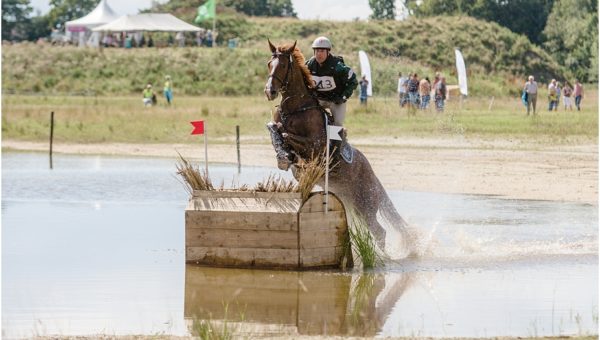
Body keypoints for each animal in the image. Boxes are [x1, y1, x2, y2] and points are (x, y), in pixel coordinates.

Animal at [264, 40, 410, 252]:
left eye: (283, 65)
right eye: (269, 63)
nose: (270, 92)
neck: (295, 108)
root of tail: (372, 174)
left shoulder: (315, 146)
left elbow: (287, 135)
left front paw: (286, 154)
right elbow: (274, 128)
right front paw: (284, 156)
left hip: (364, 204)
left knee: (379, 231)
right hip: (351, 203)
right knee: (377, 230)